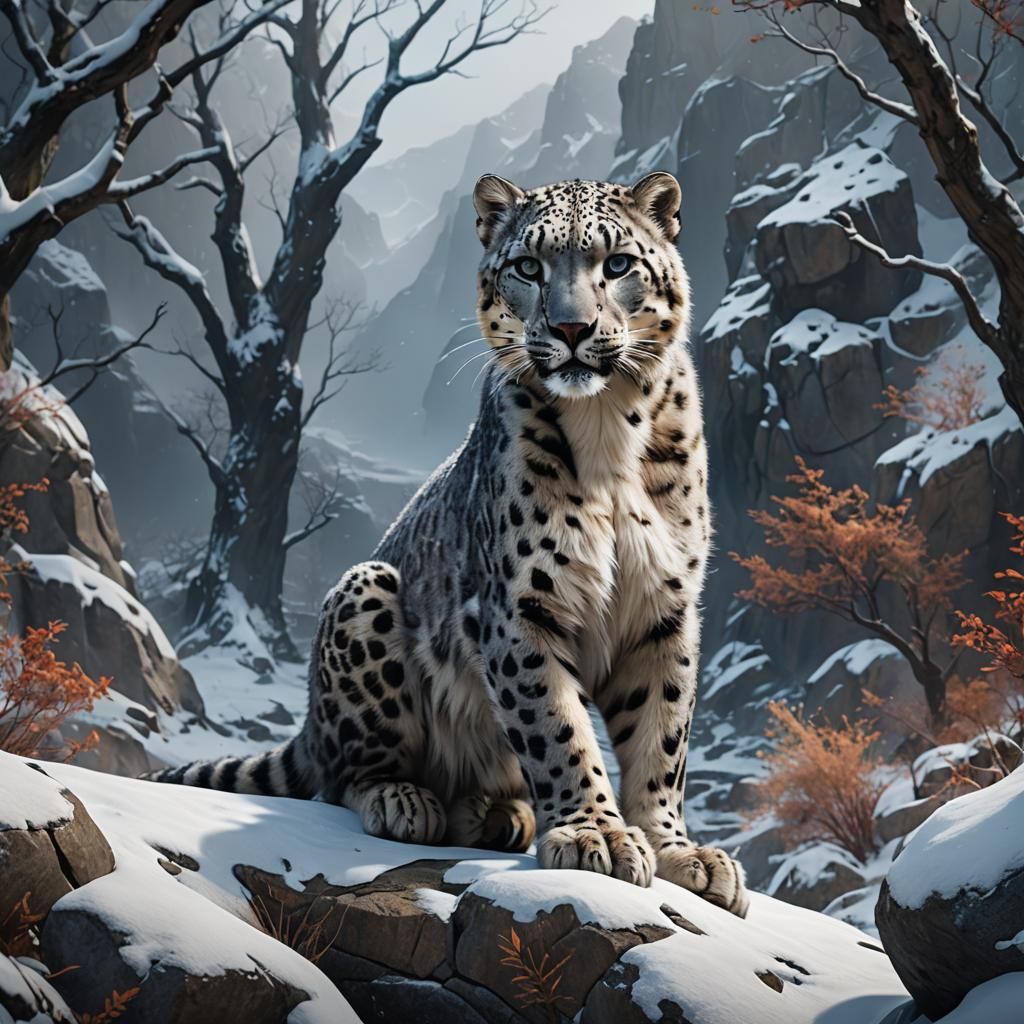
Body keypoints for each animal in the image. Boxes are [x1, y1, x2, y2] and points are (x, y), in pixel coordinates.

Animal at [146, 172, 749, 916]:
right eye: (528, 267)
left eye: (616, 264)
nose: (571, 328)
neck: (608, 428)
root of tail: (310, 720)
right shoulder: (521, 606)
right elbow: (557, 727)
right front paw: (595, 835)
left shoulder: (664, 608)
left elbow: (661, 738)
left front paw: (677, 850)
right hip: (367, 593)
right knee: (346, 773)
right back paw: (408, 802)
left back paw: (499, 814)